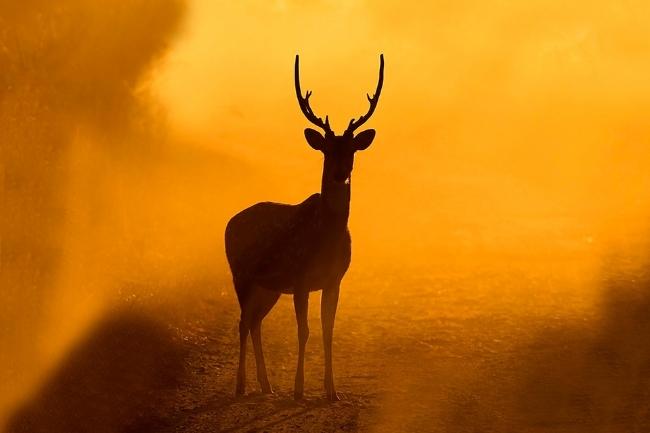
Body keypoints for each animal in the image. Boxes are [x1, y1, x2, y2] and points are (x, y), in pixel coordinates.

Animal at [224, 54, 384, 401]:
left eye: (351, 149)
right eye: (327, 150)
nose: (340, 173)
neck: (327, 236)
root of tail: (229, 223)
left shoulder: (334, 280)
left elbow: (327, 331)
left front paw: (331, 392)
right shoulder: (299, 279)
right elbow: (304, 331)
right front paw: (299, 390)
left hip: (268, 286)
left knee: (255, 322)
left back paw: (267, 386)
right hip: (241, 274)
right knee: (242, 322)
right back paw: (241, 386)